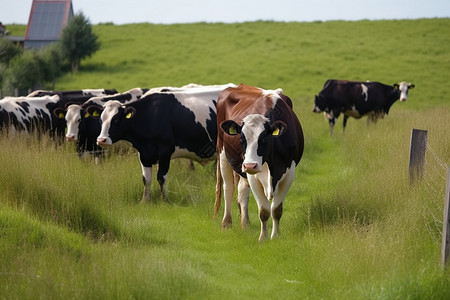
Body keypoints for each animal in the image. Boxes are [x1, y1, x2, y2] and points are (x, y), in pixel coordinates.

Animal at [95, 84, 236, 202]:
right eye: (101, 120)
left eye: (116, 120)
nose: (101, 140)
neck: (151, 116)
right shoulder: (144, 154)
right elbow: (146, 179)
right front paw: (145, 201)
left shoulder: (165, 152)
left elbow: (161, 178)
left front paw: (164, 200)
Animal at [213, 84, 304, 241]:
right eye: (241, 139)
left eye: (264, 139)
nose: (250, 165)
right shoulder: (252, 175)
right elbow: (264, 211)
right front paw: (263, 238)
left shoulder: (289, 172)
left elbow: (276, 209)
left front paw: (275, 236)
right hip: (223, 153)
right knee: (228, 188)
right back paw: (226, 223)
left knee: (242, 191)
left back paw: (245, 223)